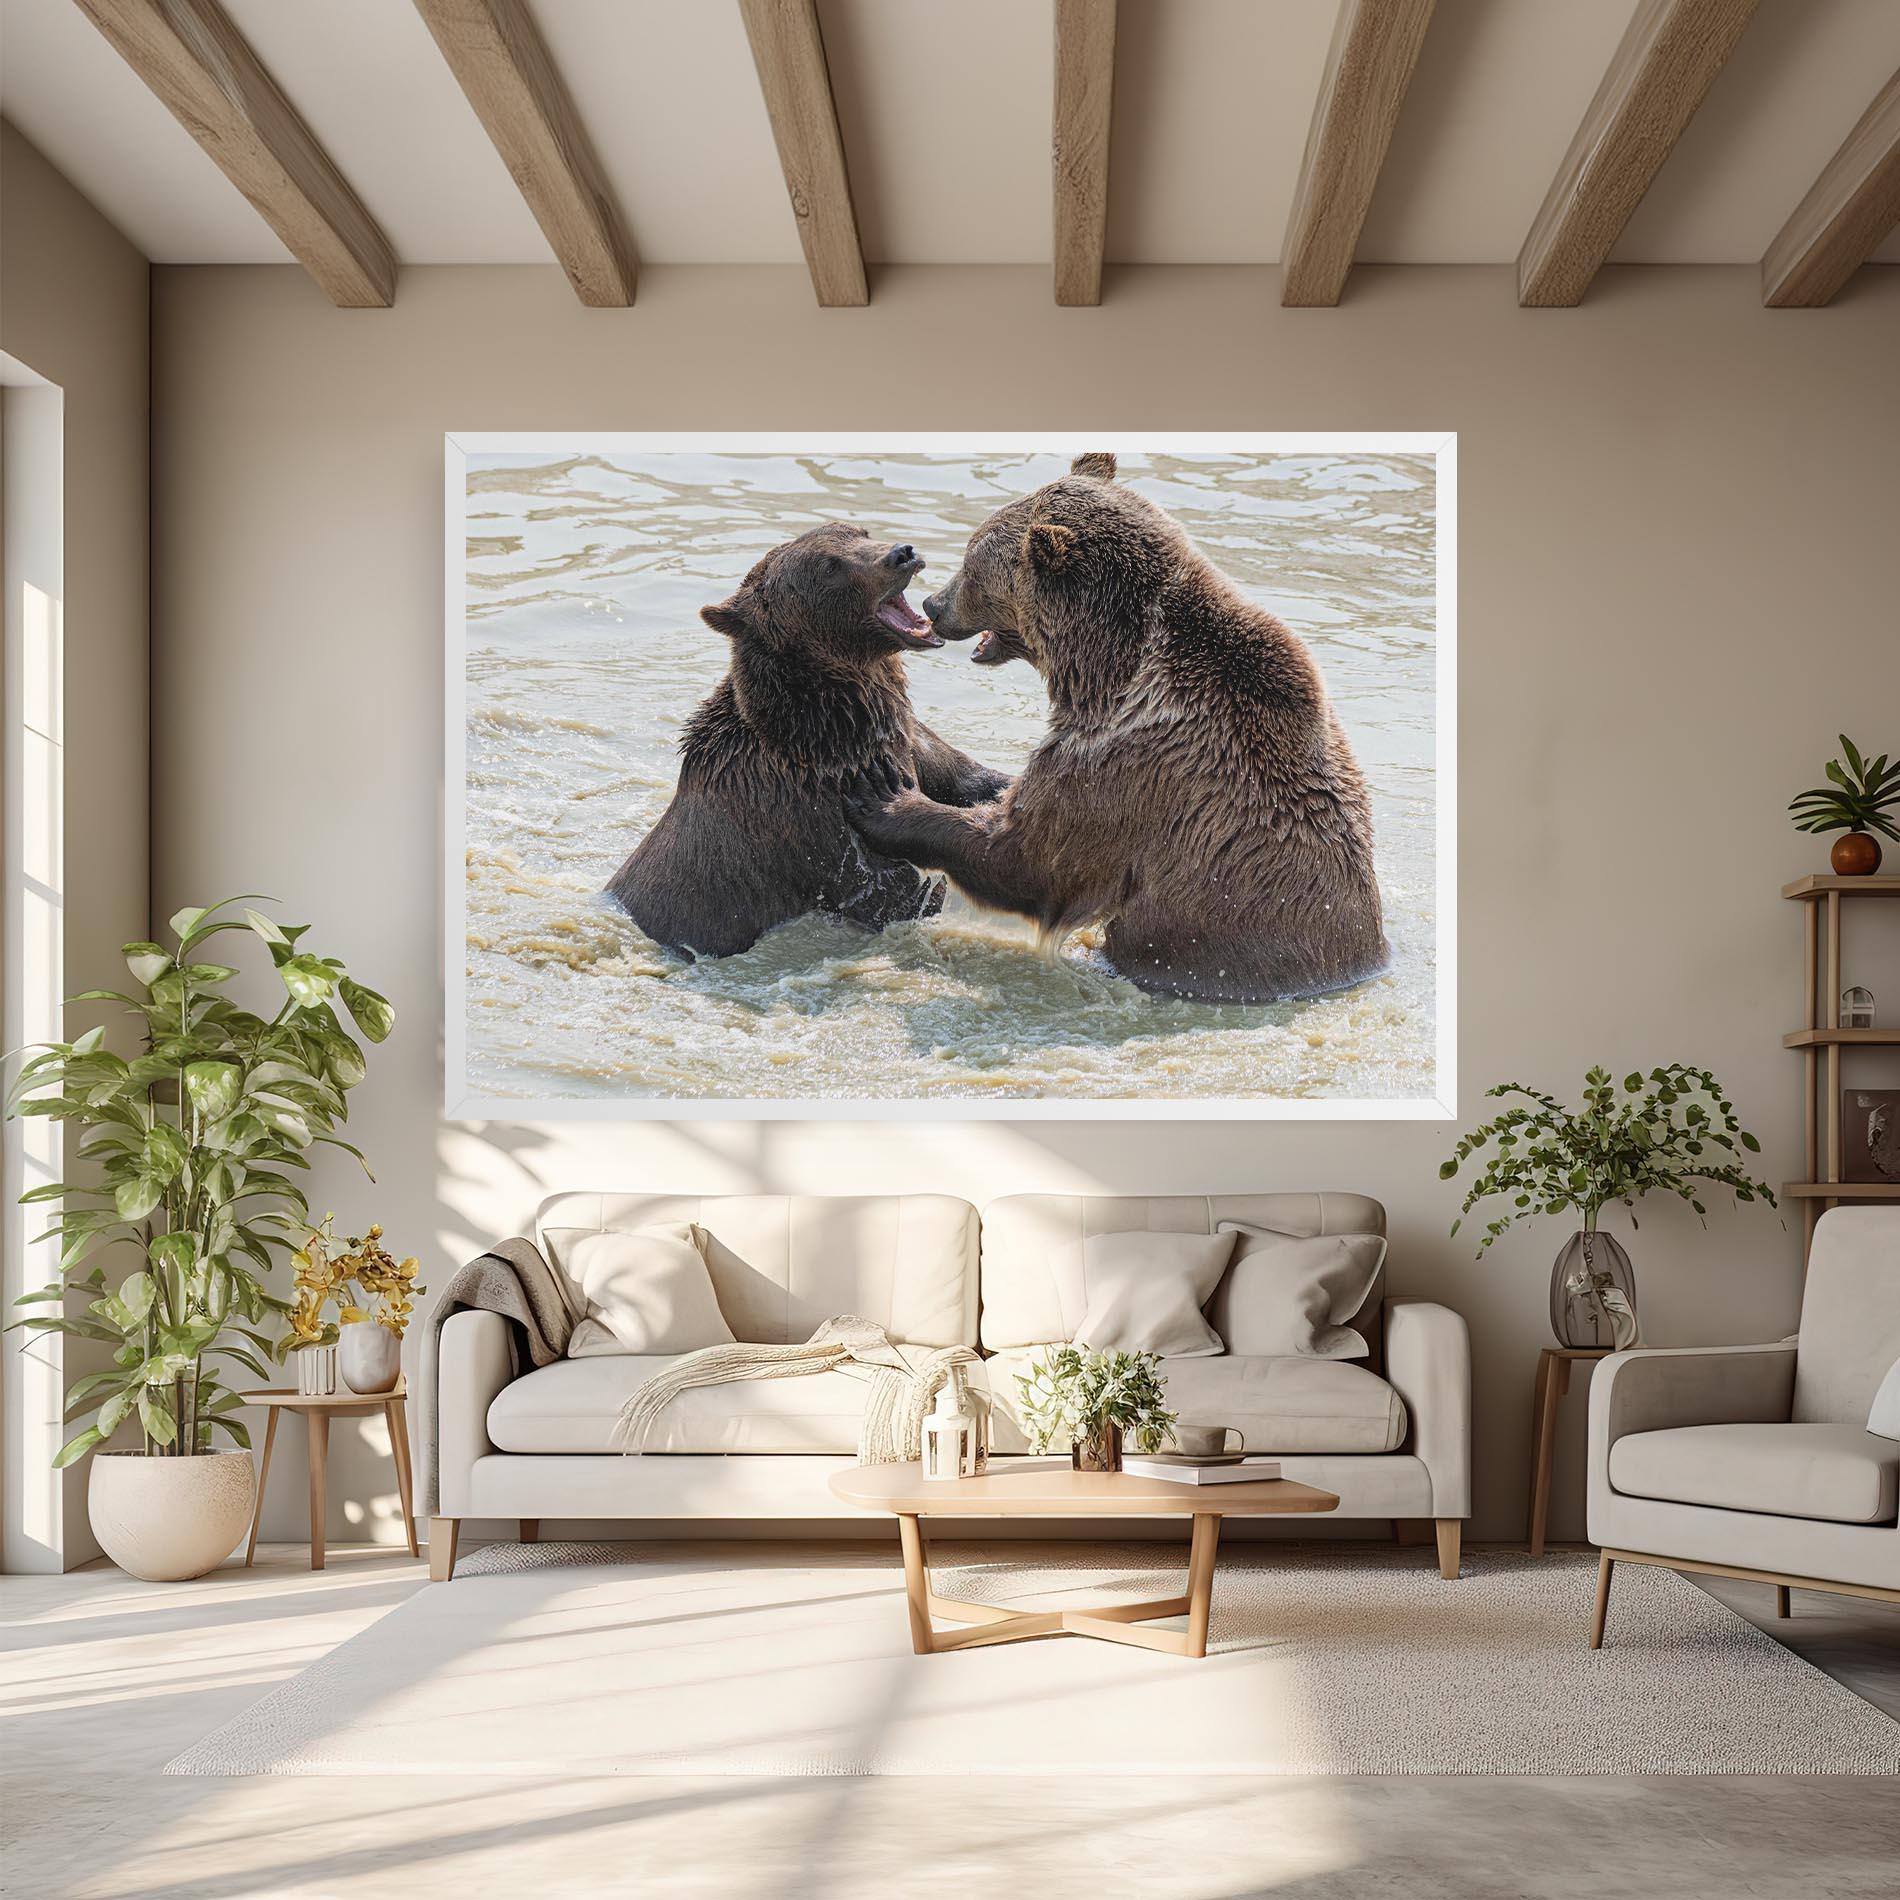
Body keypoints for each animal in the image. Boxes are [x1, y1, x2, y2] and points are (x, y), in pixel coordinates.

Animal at [606, 522, 1010, 958]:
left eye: (860, 532)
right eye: (830, 567)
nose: (902, 553)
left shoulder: (909, 740)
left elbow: (969, 777)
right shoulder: (813, 821)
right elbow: (894, 890)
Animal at [845, 453, 1387, 1003]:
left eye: (973, 564)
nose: (934, 605)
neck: (1104, 670)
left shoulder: (1126, 763)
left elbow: (1028, 856)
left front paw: (886, 799)